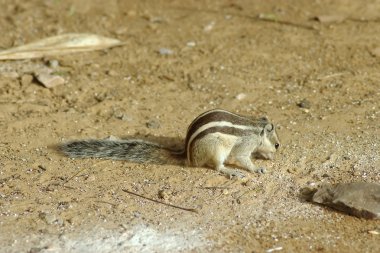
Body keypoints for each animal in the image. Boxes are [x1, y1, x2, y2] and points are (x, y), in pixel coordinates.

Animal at [59, 109, 280, 178]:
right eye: (277, 145)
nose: (277, 151)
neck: (257, 128)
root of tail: (187, 155)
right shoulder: (245, 145)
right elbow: (243, 158)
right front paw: (257, 168)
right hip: (215, 149)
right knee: (217, 166)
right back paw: (230, 171)